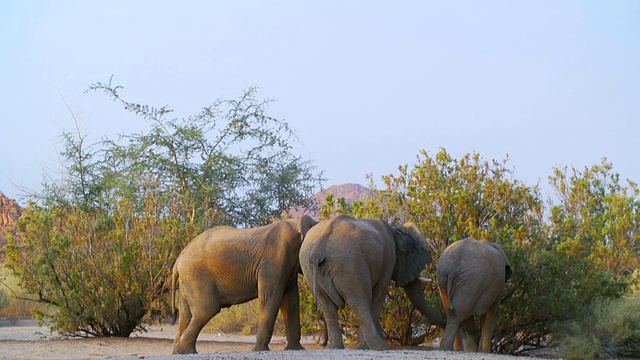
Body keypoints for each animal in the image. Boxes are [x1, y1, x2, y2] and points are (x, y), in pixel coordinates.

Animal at [171, 215, 316, 352]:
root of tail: (178, 261)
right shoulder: (274, 261)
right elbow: (270, 298)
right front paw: (258, 351)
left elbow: (291, 301)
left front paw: (296, 349)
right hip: (197, 276)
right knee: (207, 309)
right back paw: (184, 351)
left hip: (188, 279)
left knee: (186, 314)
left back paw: (181, 351)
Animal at [300, 215, 444, 350]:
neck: (395, 230)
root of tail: (319, 247)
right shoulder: (389, 257)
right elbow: (378, 296)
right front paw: (366, 345)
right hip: (351, 264)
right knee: (360, 303)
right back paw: (379, 347)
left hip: (310, 267)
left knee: (328, 306)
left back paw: (336, 347)